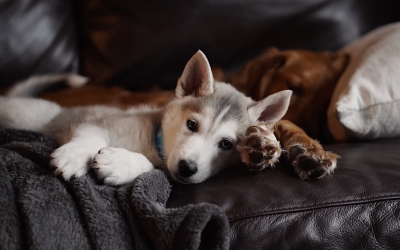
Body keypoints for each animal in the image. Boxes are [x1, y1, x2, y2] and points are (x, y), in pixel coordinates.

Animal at [0, 50, 290, 185]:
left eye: (227, 144)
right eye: (192, 124)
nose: (187, 168)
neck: (154, 142)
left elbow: (152, 168)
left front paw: (120, 163)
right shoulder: (101, 122)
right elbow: (90, 136)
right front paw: (74, 156)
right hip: (24, 114)